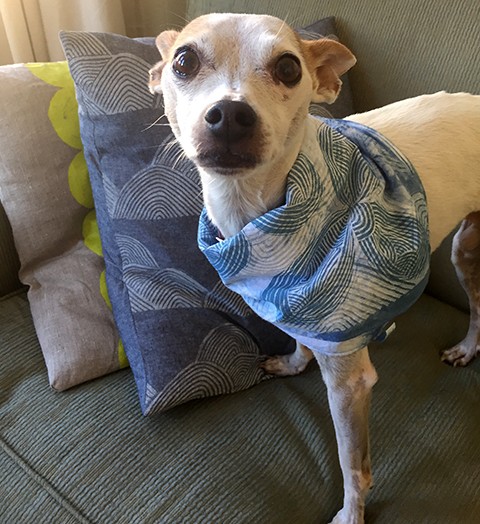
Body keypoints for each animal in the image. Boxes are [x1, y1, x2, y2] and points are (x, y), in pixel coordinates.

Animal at [148, 13, 480, 524]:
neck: (257, 215)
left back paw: (466, 348)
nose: (230, 115)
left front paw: (351, 513)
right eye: (183, 61)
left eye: (288, 68)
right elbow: (299, 338)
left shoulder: (349, 382)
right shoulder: (296, 303)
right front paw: (292, 363)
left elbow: (352, 465)